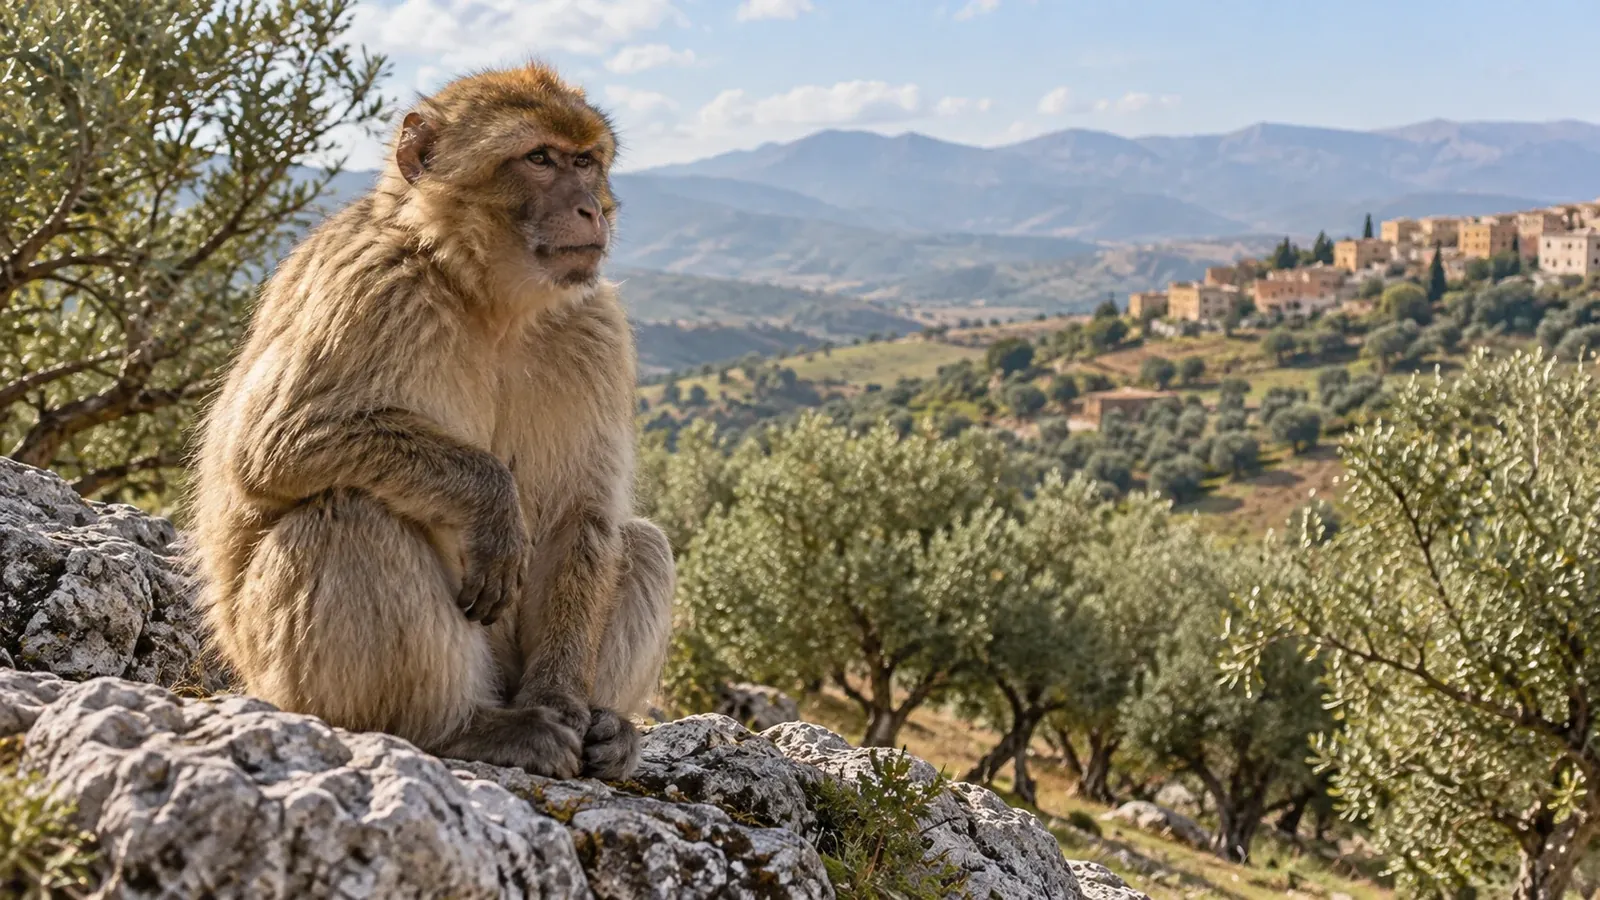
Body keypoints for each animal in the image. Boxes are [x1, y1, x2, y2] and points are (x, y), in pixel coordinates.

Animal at [187, 63, 674, 781]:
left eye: (586, 161)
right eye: (540, 158)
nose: (591, 207)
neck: (489, 300)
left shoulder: (594, 330)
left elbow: (580, 516)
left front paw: (564, 699)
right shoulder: (371, 288)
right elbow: (275, 444)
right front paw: (494, 503)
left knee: (640, 541)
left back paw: (605, 726)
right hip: (278, 677)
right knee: (347, 516)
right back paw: (460, 728)